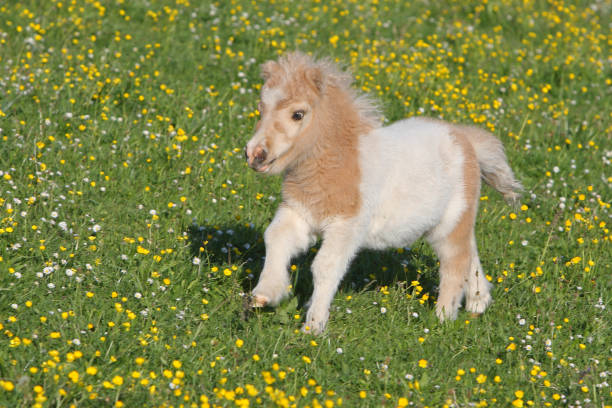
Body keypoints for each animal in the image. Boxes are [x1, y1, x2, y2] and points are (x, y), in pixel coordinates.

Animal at [244, 51, 520, 334]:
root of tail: (465, 139)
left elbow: (326, 266)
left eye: (298, 114)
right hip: (455, 221)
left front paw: (314, 326)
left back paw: (442, 318)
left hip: (450, 222)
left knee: (455, 261)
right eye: (261, 108)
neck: (339, 163)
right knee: (470, 252)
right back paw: (478, 302)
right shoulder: (298, 213)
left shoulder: (347, 227)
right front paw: (264, 294)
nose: (255, 154)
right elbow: (275, 237)